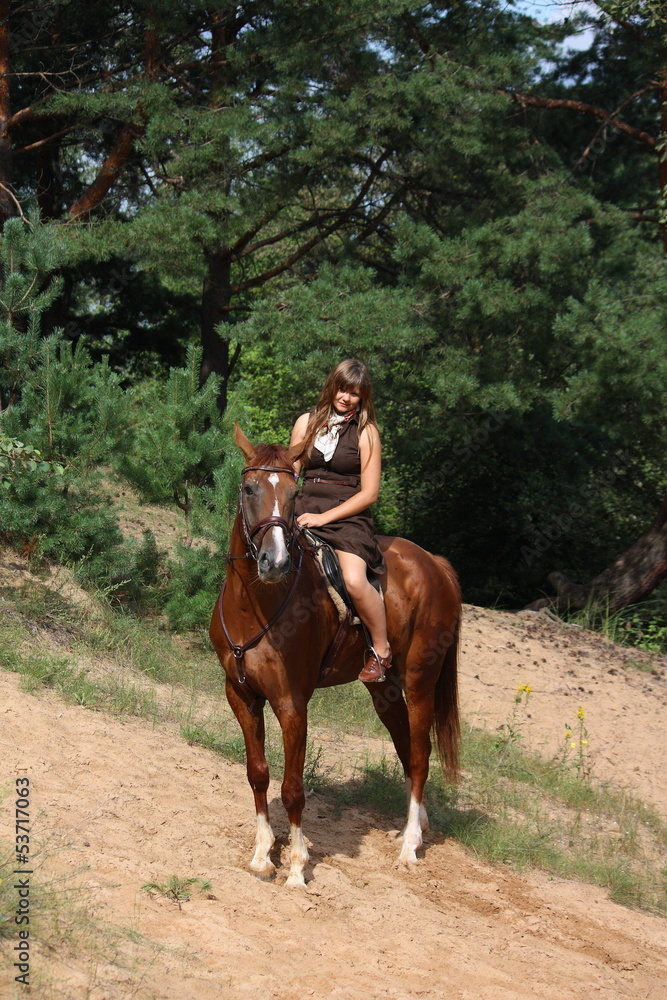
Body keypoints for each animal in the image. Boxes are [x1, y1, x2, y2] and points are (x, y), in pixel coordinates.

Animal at [209, 424, 461, 887]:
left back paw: (409, 847)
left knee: (419, 758)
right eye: (250, 489)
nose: (275, 561)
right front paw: (262, 855)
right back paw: (416, 826)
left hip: (420, 682)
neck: (257, 604)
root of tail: (434, 564)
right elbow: (258, 774)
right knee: (405, 749)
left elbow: (293, 788)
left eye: (294, 493)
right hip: (384, 689)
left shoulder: (292, 703)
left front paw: (296, 867)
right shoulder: (241, 695)